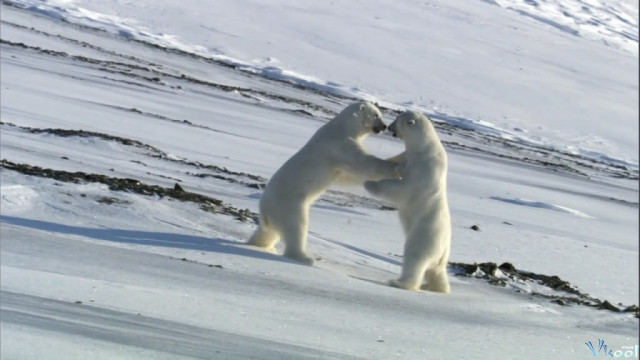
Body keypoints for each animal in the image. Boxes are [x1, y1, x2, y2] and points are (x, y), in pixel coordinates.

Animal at [248, 101, 398, 264]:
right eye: (376, 115)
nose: (384, 126)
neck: (344, 126)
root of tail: (264, 210)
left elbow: (347, 176)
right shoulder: (339, 143)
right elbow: (361, 162)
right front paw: (395, 167)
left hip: (273, 216)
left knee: (268, 233)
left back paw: (260, 245)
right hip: (289, 204)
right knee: (296, 227)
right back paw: (305, 257)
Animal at [364, 111, 450, 294]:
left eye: (398, 120)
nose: (389, 126)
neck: (425, 149)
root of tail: (442, 254)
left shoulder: (423, 170)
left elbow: (403, 189)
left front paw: (369, 184)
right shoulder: (409, 156)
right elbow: (397, 160)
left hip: (425, 237)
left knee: (414, 259)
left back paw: (399, 283)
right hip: (438, 256)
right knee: (436, 272)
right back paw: (435, 287)